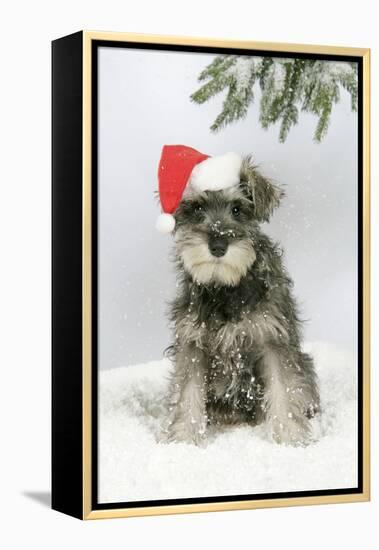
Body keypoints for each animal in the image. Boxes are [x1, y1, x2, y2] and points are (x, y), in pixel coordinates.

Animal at [160, 152, 320, 448]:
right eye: (197, 208)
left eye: (237, 209)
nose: (218, 246)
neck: (225, 287)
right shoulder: (192, 343)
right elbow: (187, 393)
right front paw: (184, 439)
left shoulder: (272, 339)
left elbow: (284, 389)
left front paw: (290, 438)